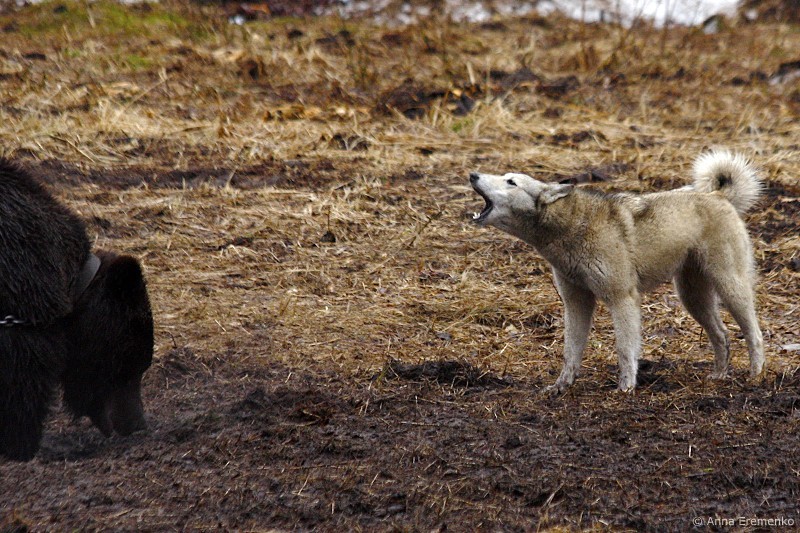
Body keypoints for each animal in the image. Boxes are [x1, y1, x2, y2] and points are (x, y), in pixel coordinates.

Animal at [469, 150, 764, 392]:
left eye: (511, 182)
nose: (472, 174)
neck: (571, 228)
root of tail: (718, 196)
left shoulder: (622, 299)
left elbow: (624, 349)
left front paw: (625, 388)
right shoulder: (576, 303)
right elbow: (570, 352)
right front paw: (561, 386)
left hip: (729, 288)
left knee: (755, 333)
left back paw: (756, 375)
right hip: (693, 299)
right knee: (723, 335)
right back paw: (719, 375)